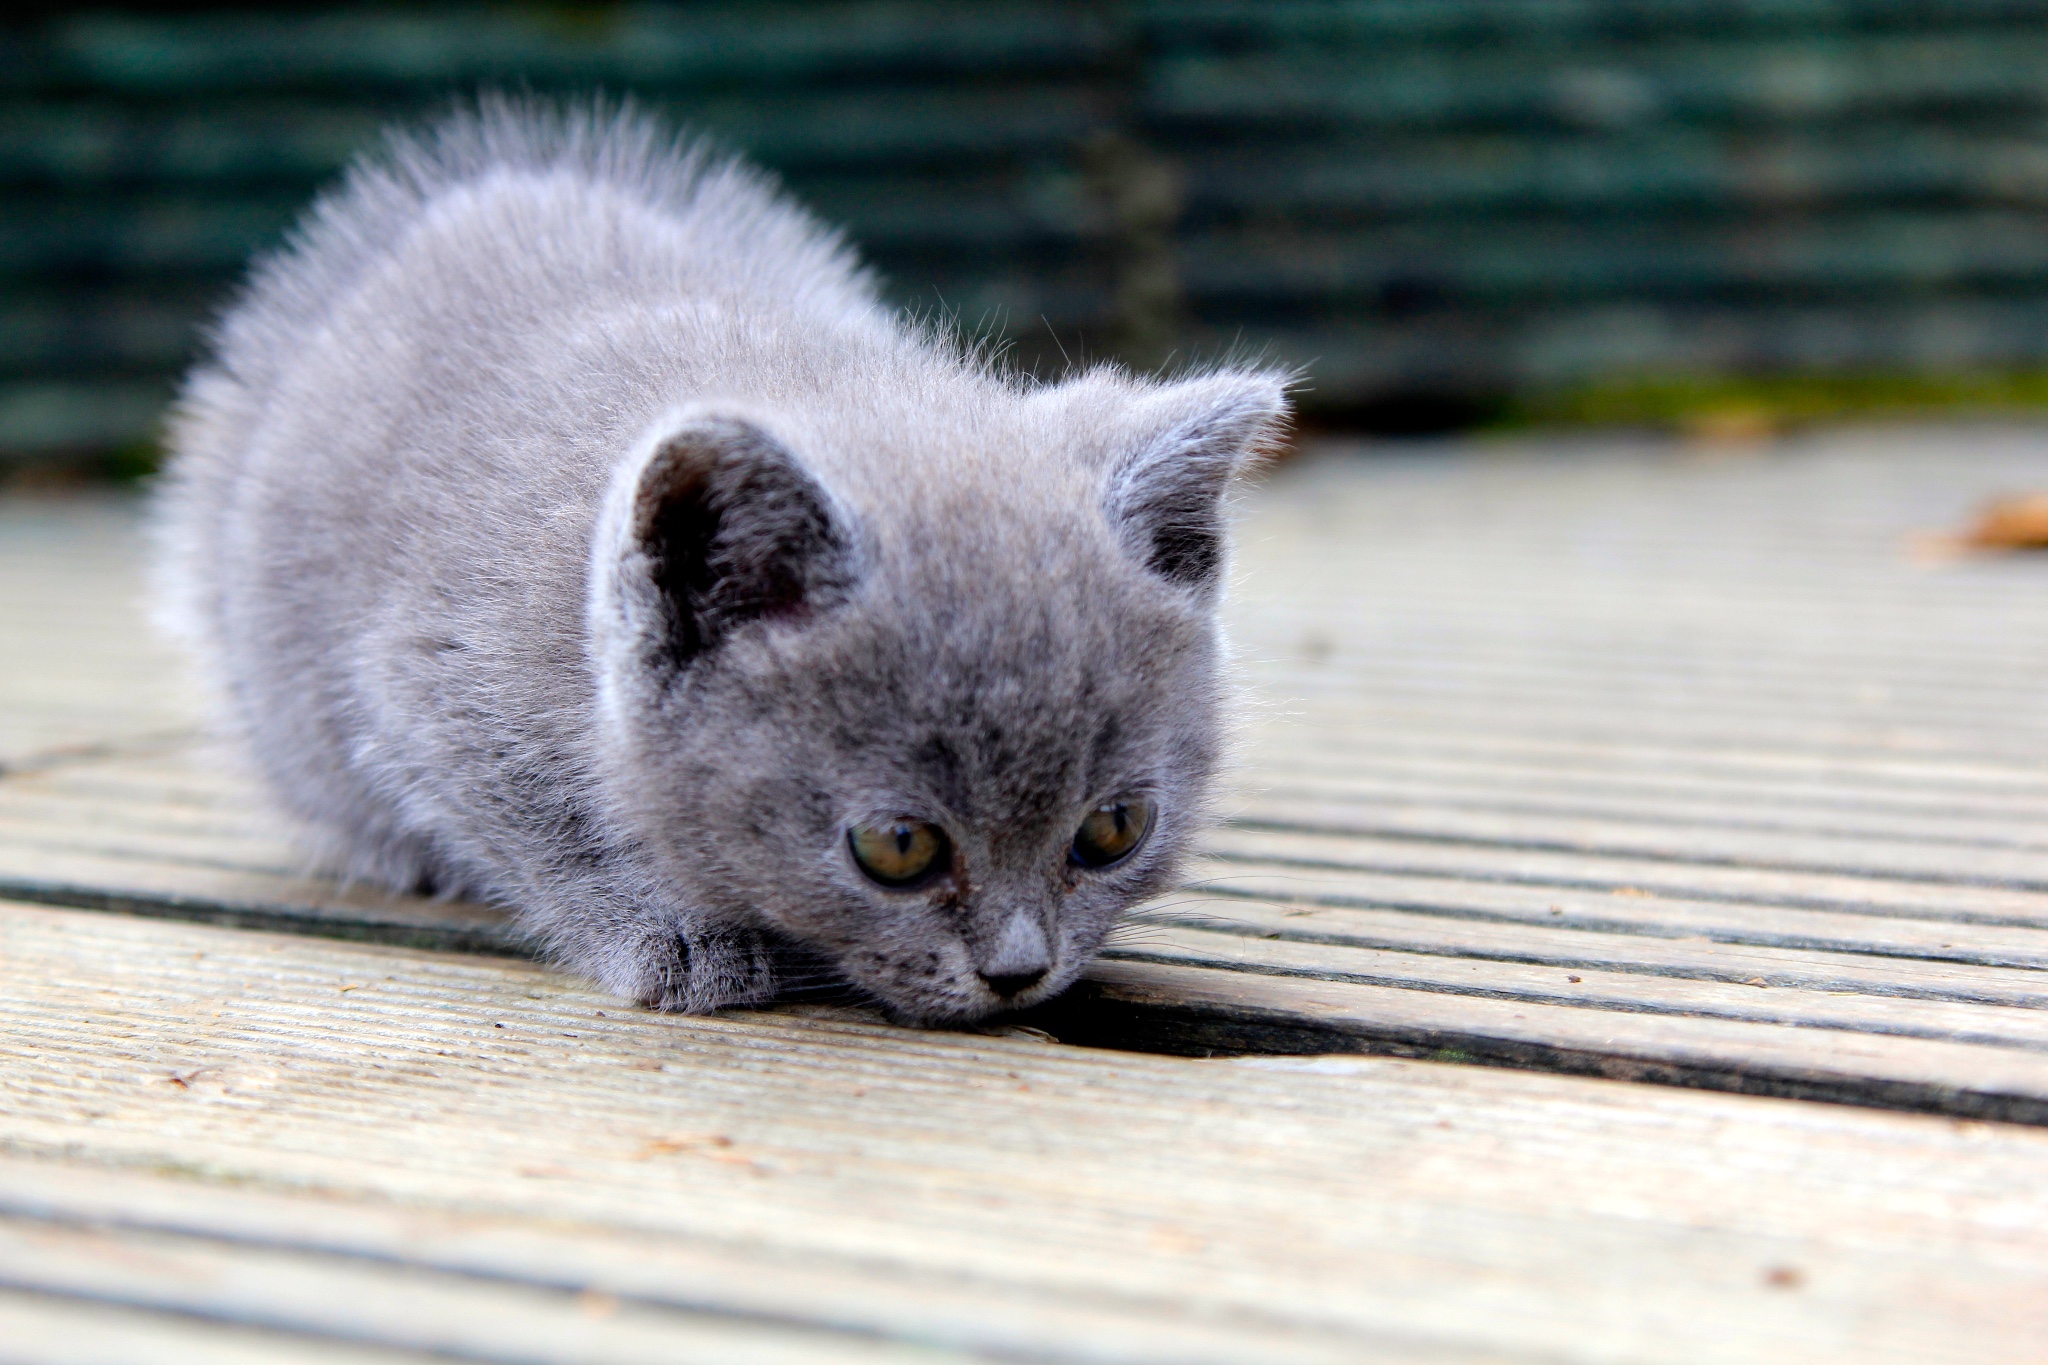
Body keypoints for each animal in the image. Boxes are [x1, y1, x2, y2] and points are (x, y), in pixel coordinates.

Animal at [151, 104, 1286, 1023]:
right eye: (898, 847)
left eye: (1114, 829)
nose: (1019, 973)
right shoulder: (430, 690)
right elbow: (540, 829)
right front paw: (674, 937)